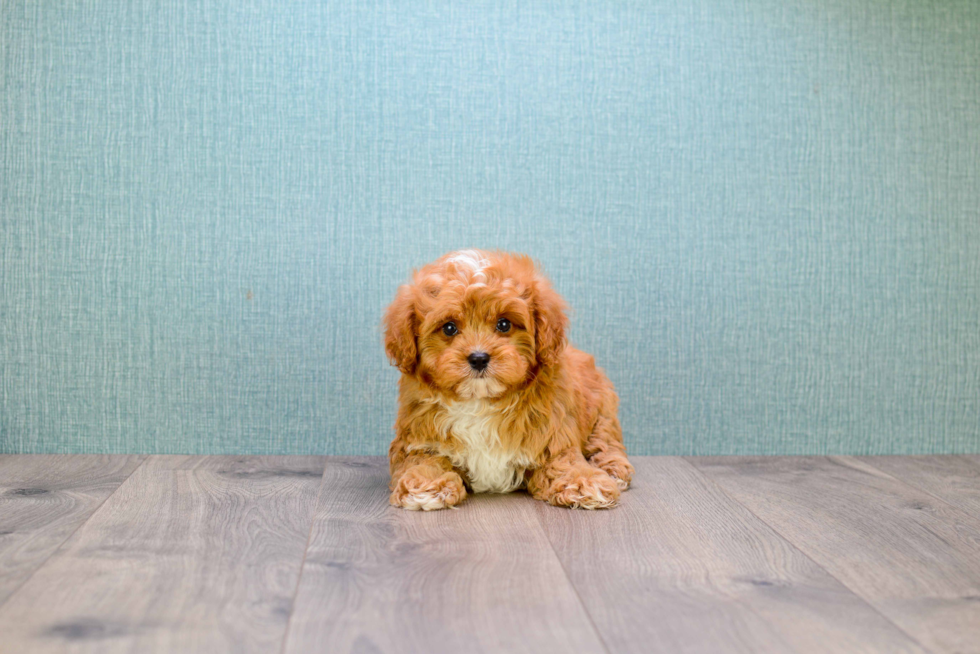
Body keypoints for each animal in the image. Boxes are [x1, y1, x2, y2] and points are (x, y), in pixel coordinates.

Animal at [382, 249, 636, 510]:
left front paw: (583, 482)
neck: (480, 401)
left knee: (606, 442)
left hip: (603, 411)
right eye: (449, 328)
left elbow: (562, 461)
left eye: (503, 324)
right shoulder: (419, 440)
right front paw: (426, 485)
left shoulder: (552, 435)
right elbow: (423, 460)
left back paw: (612, 469)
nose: (479, 358)